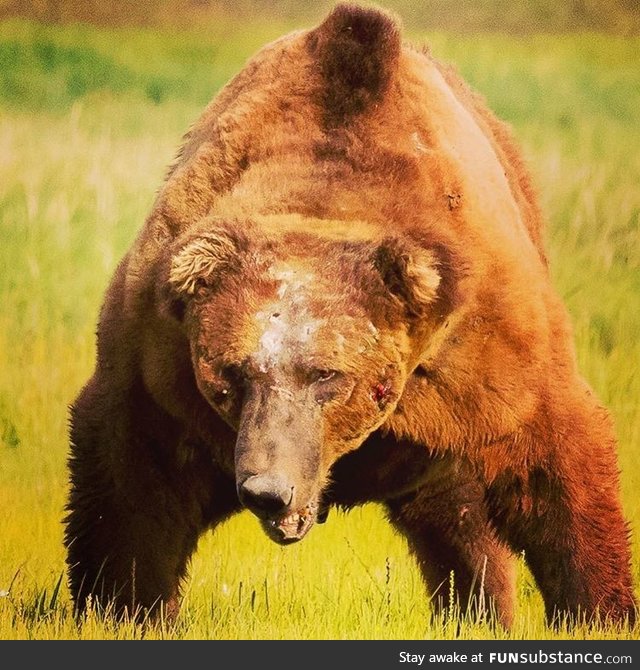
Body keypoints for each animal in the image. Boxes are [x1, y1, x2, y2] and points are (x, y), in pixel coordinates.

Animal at [63, 2, 636, 632]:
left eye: (327, 375)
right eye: (231, 374)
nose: (268, 490)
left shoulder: (485, 352)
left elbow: (560, 466)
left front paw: (601, 610)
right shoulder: (161, 364)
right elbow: (131, 492)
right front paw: (122, 606)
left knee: (462, 524)